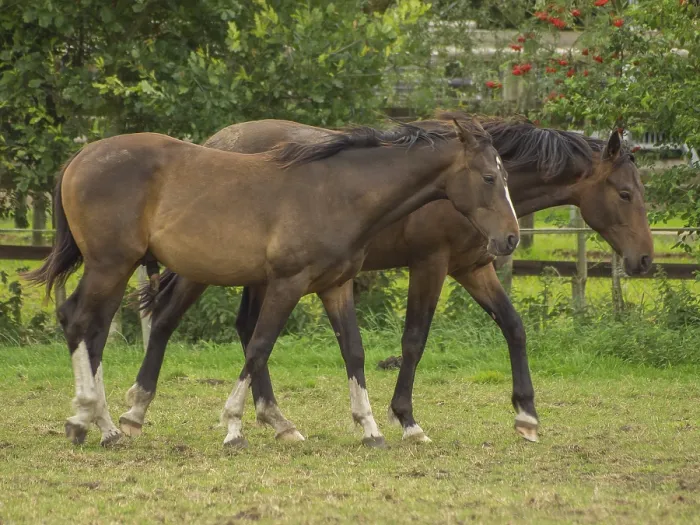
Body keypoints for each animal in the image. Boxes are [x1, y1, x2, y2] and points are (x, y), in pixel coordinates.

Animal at [26, 120, 519, 447]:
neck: (337, 192)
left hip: (117, 268)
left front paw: (370, 428)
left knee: (92, 328)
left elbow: (354, 351)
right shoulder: (287, 283)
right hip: (112, 264)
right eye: (489, 177)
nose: (510, 238)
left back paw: (105, 426)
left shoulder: (335, 286)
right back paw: (89, 420)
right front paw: (233, 425)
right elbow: (259, 345)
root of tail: (79, 157)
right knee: (79, 322)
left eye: (507, 175)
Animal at [115, 113, 653, 446]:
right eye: (626, 194)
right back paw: (140, 411)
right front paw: (407, 419)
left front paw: (526, 417)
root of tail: (214, 144)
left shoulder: (474, 267)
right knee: (169, 319)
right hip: (210, 271)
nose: (645, 260)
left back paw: (279, 422)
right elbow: (414, 339)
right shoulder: (431, 264)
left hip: (258, 277)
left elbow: (514, 327)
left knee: (247, 330)